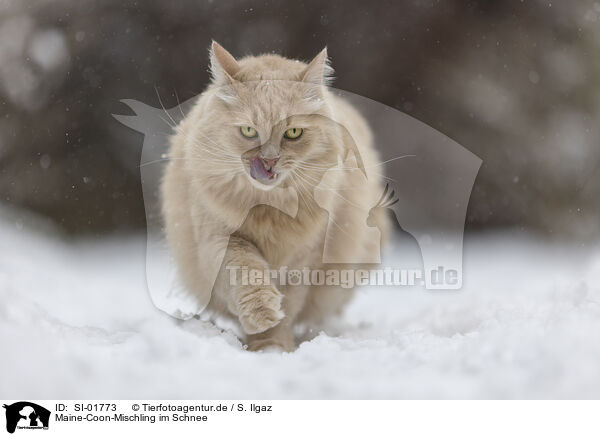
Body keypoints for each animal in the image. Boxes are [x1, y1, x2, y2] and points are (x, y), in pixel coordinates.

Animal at [161, 41, 390, 350]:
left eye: (293, 133)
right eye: (249, 131)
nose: (268, 161)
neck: (268, 208)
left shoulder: (302, 258)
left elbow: (288, 307)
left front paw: (274, 346)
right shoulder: (219, 239)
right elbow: (246, 273)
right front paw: (262, 318)